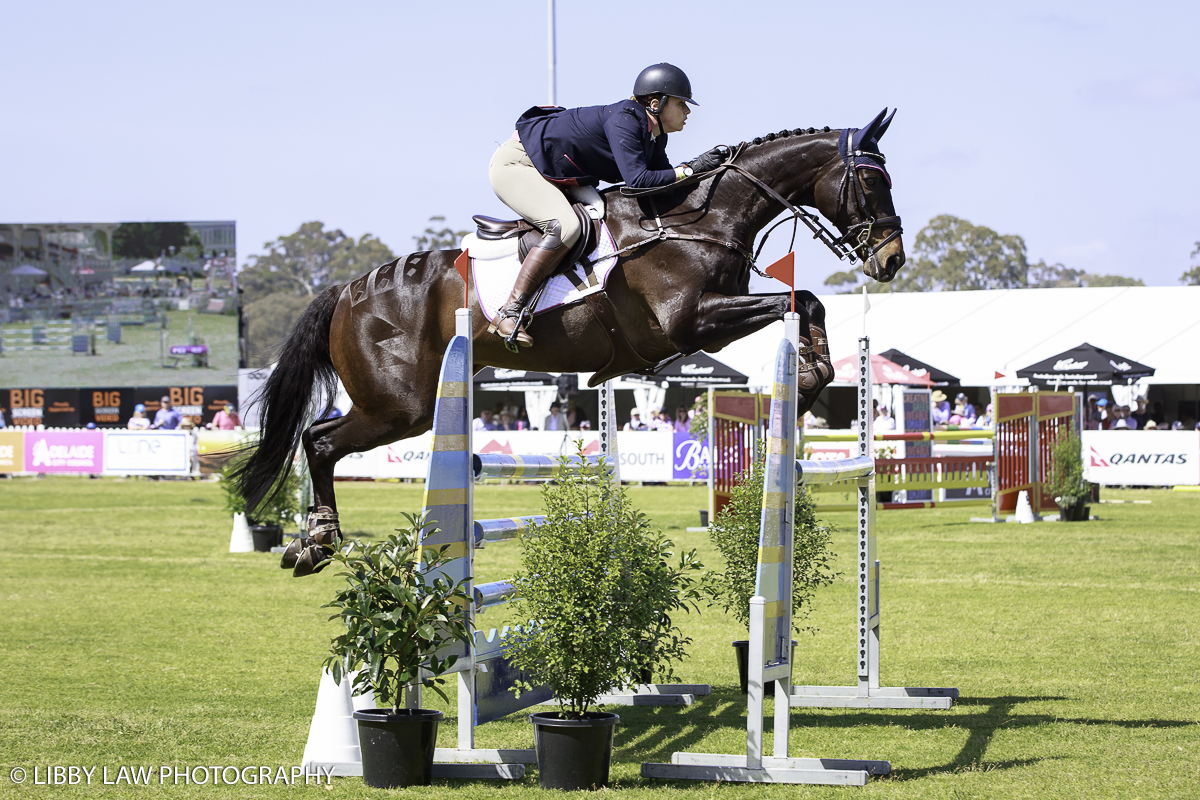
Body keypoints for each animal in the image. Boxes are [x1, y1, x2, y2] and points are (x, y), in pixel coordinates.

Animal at [234, 110, 902, 575]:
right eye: (872, 184)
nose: (892, 260)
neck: (697, 219)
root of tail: (347, 291)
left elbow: (805, 301)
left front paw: (813, 376)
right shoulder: (688, 322)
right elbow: (796, 300)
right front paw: (809, 380)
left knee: (318, 439)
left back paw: (309, 543)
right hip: (400, 405)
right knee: (319, 441)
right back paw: (316, 543)